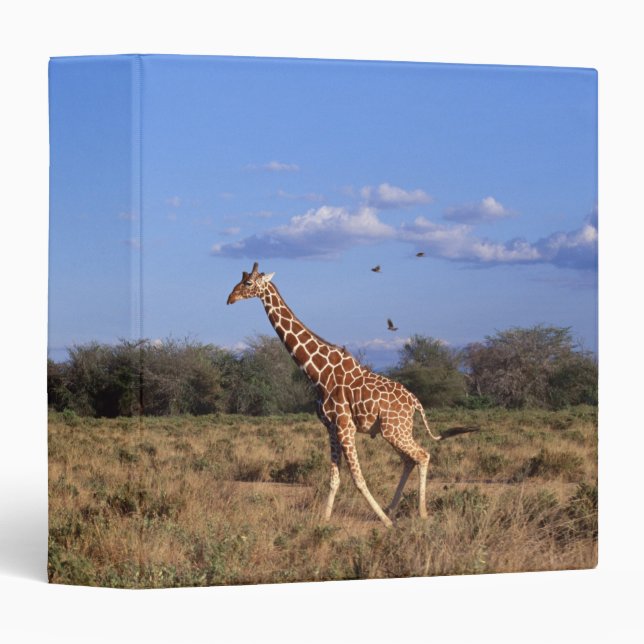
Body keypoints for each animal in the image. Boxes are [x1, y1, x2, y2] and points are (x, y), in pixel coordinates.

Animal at [226, 262, 442, 528]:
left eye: (247, 283)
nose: (230, 298)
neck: (318, 372)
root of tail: (415, 402)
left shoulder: (345, 426)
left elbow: (358, 478)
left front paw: (383, 521)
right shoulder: (330, 427)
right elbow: (334, 478)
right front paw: (325, 519)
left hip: (395, 429)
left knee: (422, 455)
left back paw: (419, 513)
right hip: (394, 430)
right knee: (410, 459)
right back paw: (392, 508)